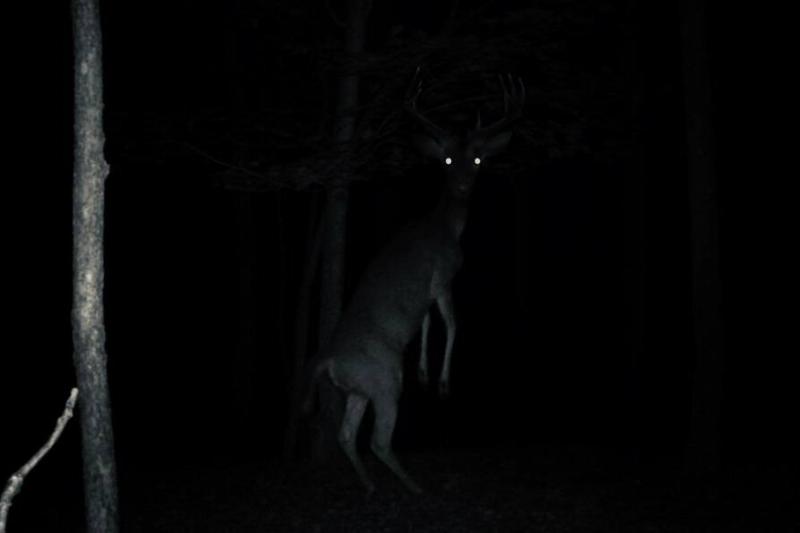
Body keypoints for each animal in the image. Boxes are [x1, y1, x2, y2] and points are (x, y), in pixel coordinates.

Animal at [303, 70, 525, 494]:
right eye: (449, 159)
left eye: (476, 158)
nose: (462, 185)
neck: (444, 227)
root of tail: (328, 361)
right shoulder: (444, 273)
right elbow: (452, 322)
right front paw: (442, 384)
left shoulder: (426, 294)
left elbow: (424, 322)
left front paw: (424, 373)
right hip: (384, 379)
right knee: (376, 440)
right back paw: (416, 486)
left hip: (358, 388)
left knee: (346, 435)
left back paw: (371, 487)